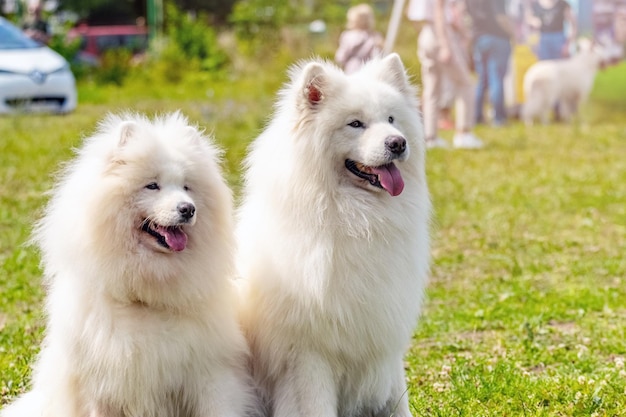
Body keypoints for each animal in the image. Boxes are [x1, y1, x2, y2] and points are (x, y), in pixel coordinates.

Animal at [0, 111, 256, 416]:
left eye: (186, 187)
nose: (188, 208)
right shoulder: (101, 385)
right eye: (152, 185)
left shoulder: (209, 371)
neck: (146, 296)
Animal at [236, 53, 432, 414]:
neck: (358, 220)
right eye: (355, 124)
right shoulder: (308, 355)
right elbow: (315, 406)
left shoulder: (385, 339)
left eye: (391, 119)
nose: (398, 143)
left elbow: (398, 402)